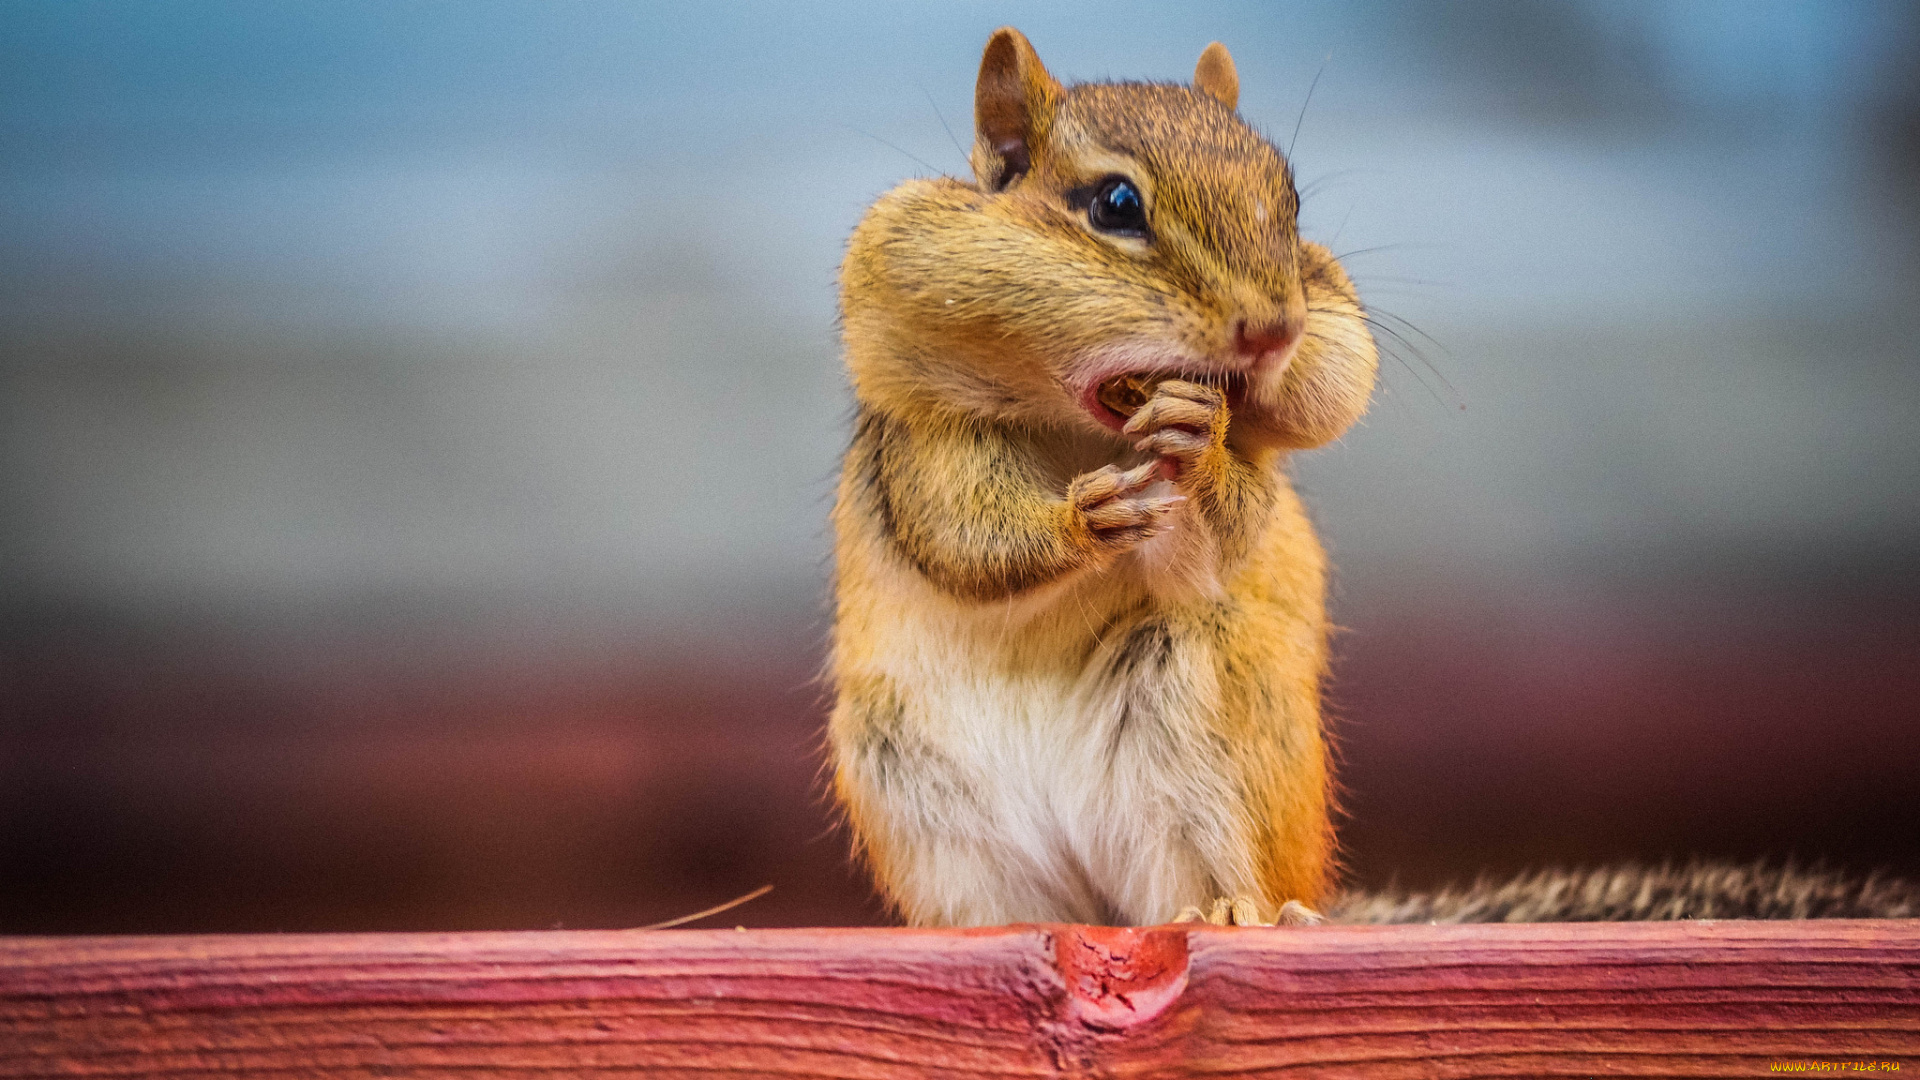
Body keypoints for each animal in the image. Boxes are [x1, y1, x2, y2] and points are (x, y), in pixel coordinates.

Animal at [826, 27, 1377, 928]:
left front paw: (1199, 444)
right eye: (1115, 204)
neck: (1082, 434)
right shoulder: (926, 447)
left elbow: (1224, 531)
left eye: (1292, 205)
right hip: (916, 792)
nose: (1276, 329)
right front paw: (1083, 522)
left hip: (1200, 725)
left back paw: (1239, 912)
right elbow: (963, 538)